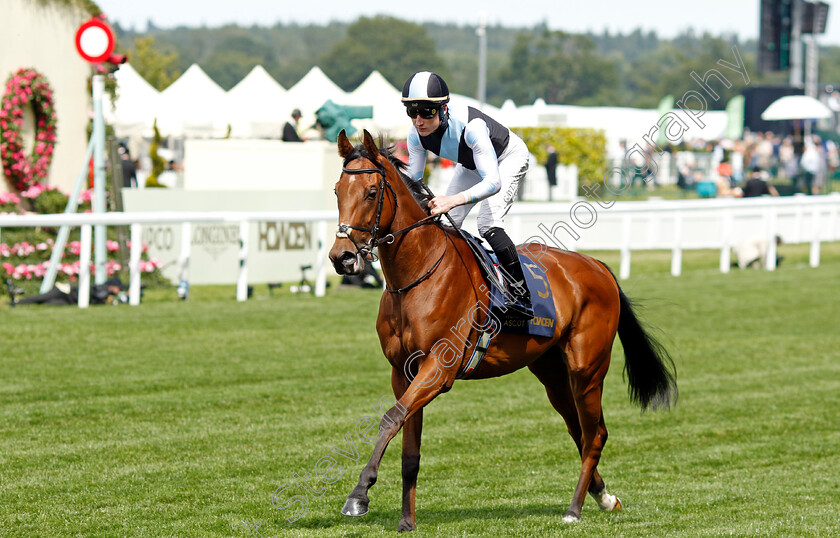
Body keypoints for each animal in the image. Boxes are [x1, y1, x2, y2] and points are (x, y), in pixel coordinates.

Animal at [328, 129, 676, 528]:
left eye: (371, 192)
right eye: (337, 190)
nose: (341, 257)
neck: (416, 275)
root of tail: (599, 266)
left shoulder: (439, 369)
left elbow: (389, 419)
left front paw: (359, 495)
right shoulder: (403, 372)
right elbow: (407, 447)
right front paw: (406, 522)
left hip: (587, 368)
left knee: (595, 434)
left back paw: (575, 509)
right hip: (551, 371)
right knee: (578, 429)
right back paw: (604, 496)